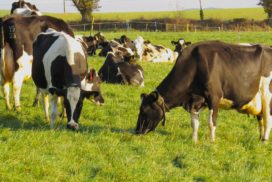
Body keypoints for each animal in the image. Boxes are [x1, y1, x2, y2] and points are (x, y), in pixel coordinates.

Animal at [136, 40, 272, 143]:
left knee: (268, 120)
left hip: (267, 95)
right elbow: (194, 123)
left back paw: (264, 141)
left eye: (144, 109)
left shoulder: (214, 97)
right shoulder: (194, 101)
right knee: (261, 120)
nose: (137, 130)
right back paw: (260, 139)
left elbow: (211, 122)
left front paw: (211, 142)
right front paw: (194, 141)